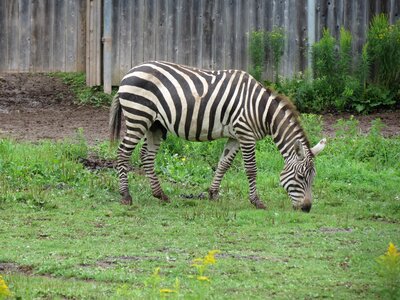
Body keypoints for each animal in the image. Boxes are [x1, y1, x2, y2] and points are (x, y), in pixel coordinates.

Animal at [108, 60, 324, 211]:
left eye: (313, 177)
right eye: (300, 176)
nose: (306, 208)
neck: (261, 110)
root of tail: (128, 74)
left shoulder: (235, 136)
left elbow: (224, 163)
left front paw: (212, 193)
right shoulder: (246, 134)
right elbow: (251, 169)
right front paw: (256, 201)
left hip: (155, 124)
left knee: (147, 156)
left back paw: (160, 194)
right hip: (138, 117)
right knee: (123, 153)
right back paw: (126, 195)